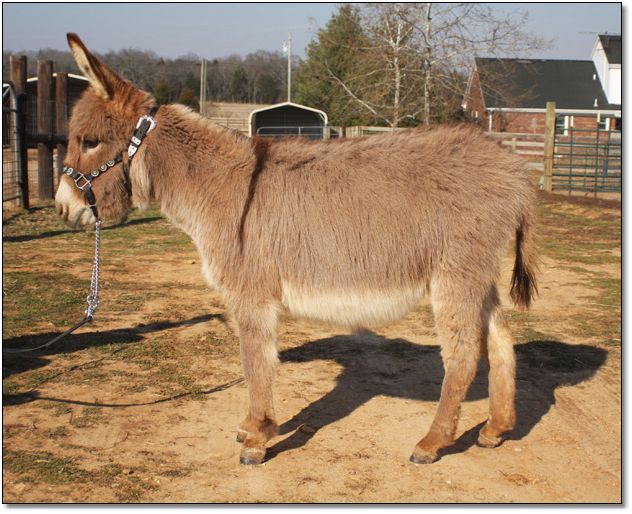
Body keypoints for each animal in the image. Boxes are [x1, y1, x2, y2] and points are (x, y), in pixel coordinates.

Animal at [55, 33, 538, 465]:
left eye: (90, 141)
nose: (63, 207)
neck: (219, 186)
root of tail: (514, 170)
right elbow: (259, 363)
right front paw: (253, 428)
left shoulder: (251, 295)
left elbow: (257, 364)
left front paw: (257, 437)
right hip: (477, 275)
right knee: (500, 340)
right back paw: (495, 429)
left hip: (455, 274)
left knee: (462, 355)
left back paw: (432, 443)